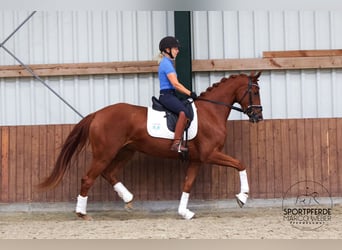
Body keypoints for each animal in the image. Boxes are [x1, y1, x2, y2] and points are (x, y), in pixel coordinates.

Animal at [38, 71, 262, 220]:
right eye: (255, 90)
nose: (258, 117)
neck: (211, 112)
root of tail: (98, 114)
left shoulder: (197, 159)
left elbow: (187, 184)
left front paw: (184, 212)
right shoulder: (210, 154)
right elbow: (241, 164)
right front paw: (242, 197)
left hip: (125, 151)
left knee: (109, 173)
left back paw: (128, 198)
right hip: (105, 153)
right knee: (88, 178)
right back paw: (82, 213)